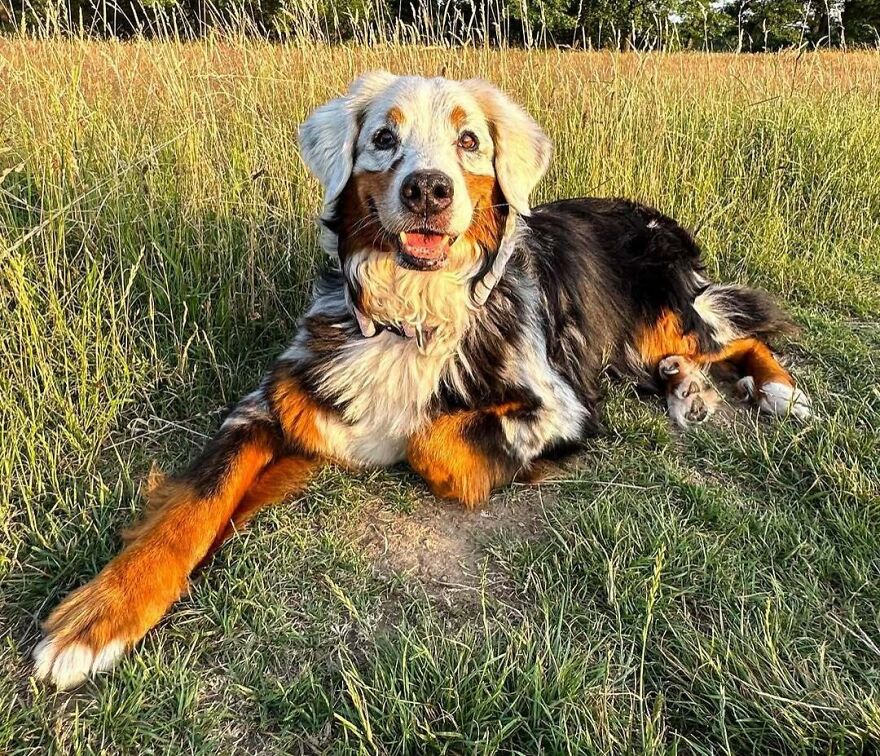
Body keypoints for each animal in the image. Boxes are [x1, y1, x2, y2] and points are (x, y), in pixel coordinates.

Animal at [31, 74, 808, 688]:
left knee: (733, 331)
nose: (428, 190)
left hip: (656, 318)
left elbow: (433, 441)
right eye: (382, 138)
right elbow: (197, 499)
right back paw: (685, 382)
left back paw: (775, 390)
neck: (412, 309)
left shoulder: (559, 405)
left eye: (468, 141)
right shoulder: (276, 400)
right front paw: (98, 617)